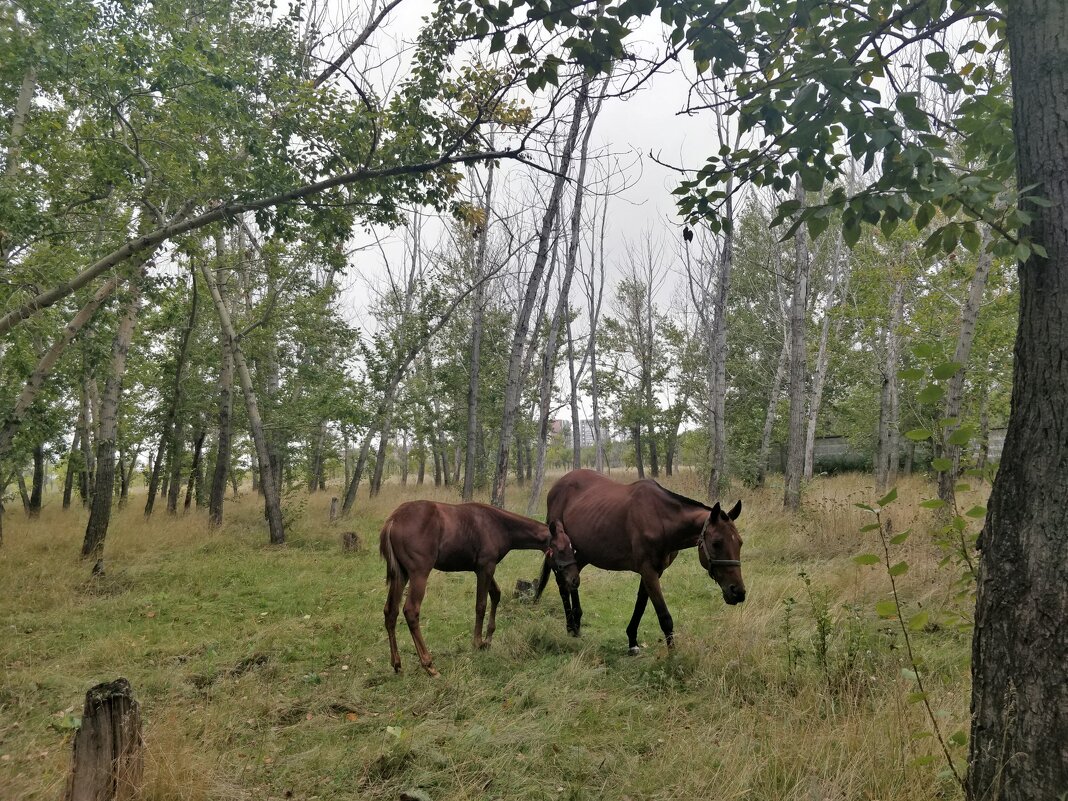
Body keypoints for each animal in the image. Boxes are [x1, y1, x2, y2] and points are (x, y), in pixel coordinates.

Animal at [534, 469, 743, 653]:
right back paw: (570, 625)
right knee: (562, 582)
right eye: (716, 543)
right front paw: (673, 657)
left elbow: (640, 605)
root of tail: (557, 486)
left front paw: (632, 641)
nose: (738, 592)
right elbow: (664, 616)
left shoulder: (654, 571)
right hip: (563, 551)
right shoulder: (648, 571)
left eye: (740, 543)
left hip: (583, 553)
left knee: (573, 581)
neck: (660, 518)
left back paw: (577, 622)